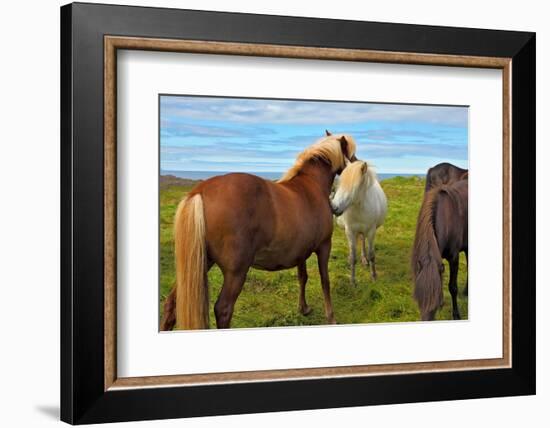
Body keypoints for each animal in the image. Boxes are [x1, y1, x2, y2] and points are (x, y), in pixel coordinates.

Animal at [160, 135, 360, 330]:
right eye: (350, 153)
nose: (357, 162)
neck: (312, 185)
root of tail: (199, 192)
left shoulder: (301, 252)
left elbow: (303, 277)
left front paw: (303, 308)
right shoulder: (325, 246)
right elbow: (325, 281)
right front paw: (331, 317)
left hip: (201, 262)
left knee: (172, 304)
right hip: (235, 272)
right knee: (223, 309)